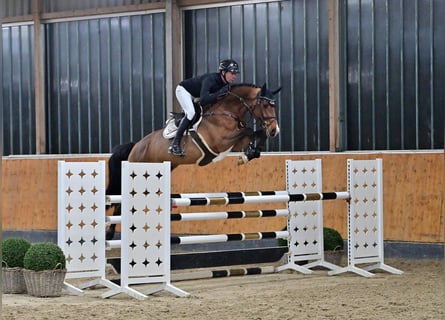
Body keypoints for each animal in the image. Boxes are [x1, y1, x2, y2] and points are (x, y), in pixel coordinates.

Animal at [105, 83, 280, 240]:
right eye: (265, 105)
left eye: (274, 106)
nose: (274, 130)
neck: (227, 112)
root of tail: (136, 146)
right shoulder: (221, 141)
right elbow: (249, 131)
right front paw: (247, 154)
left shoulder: (235, 143)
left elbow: (256, 134)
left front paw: (249, 154)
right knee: (121, 203)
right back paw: (110, 233)